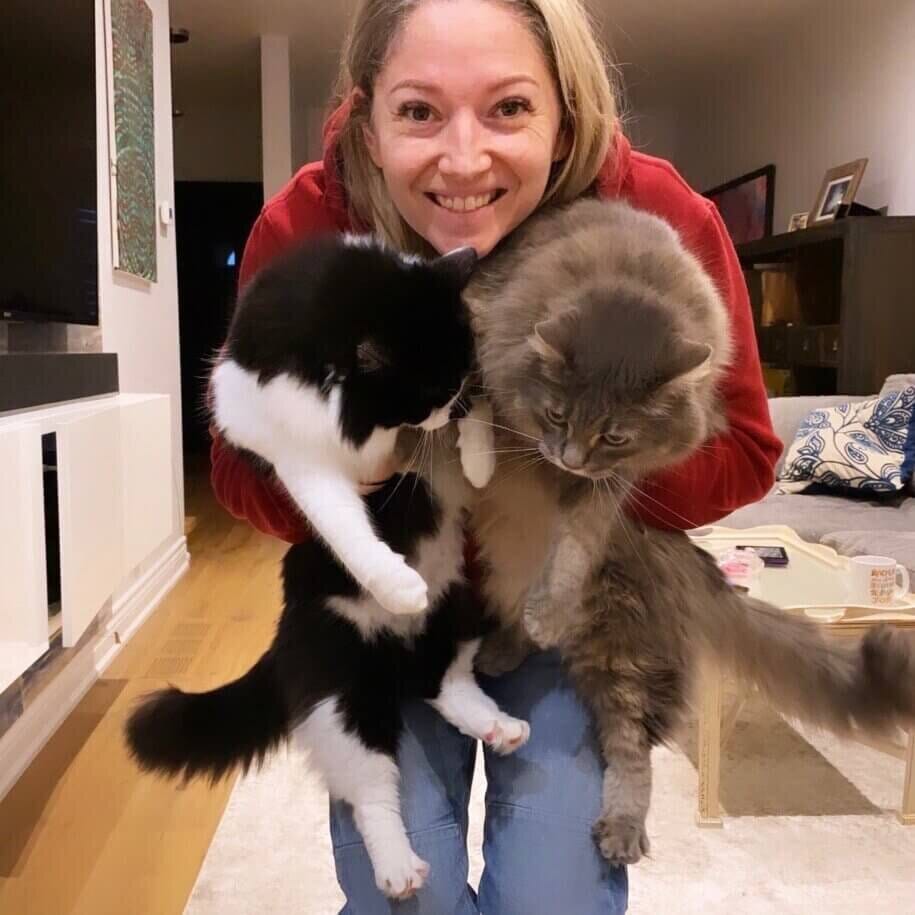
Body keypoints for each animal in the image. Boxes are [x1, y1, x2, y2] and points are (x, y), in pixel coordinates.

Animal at [466, 199, 915, 864]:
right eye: (557, 415)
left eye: (615, 435)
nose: (570, 459)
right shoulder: (484, 323)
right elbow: (473, 406)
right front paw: (478, 455)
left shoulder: (620, 476)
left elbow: (581, 529)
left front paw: (553, 593)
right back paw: (503, 646)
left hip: (623, 658)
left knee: (631, 751)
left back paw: (621, 827)